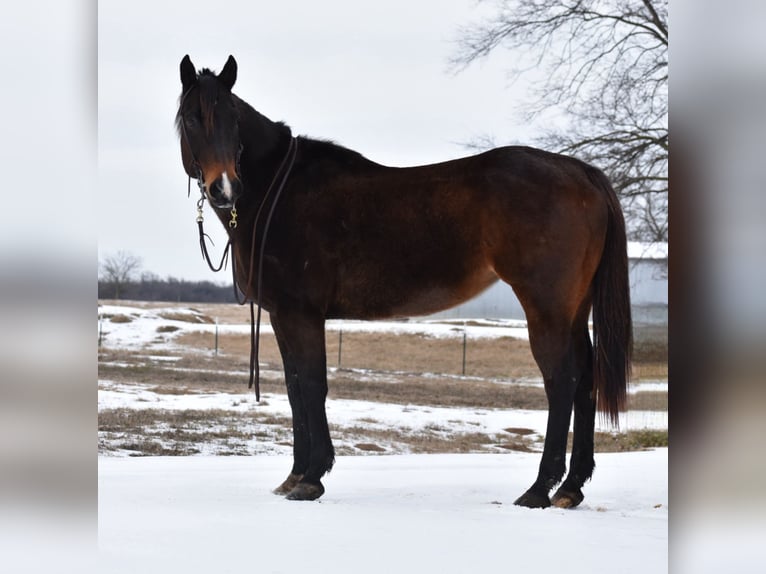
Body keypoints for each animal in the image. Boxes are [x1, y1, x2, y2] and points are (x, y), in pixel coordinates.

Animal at [175, 55, 632, 508]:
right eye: (193, 118)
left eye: (233, 118)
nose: (224, 188)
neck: (279, 191)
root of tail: (580, 171)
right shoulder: (280, 316)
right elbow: (293, 390)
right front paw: (293, 477)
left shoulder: (302, 315)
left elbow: (312, 386)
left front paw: (312, 477)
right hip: (574, 309)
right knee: (585, 378)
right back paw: (571, 488)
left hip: (546, 308)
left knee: (561, 380)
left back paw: (539, 489)